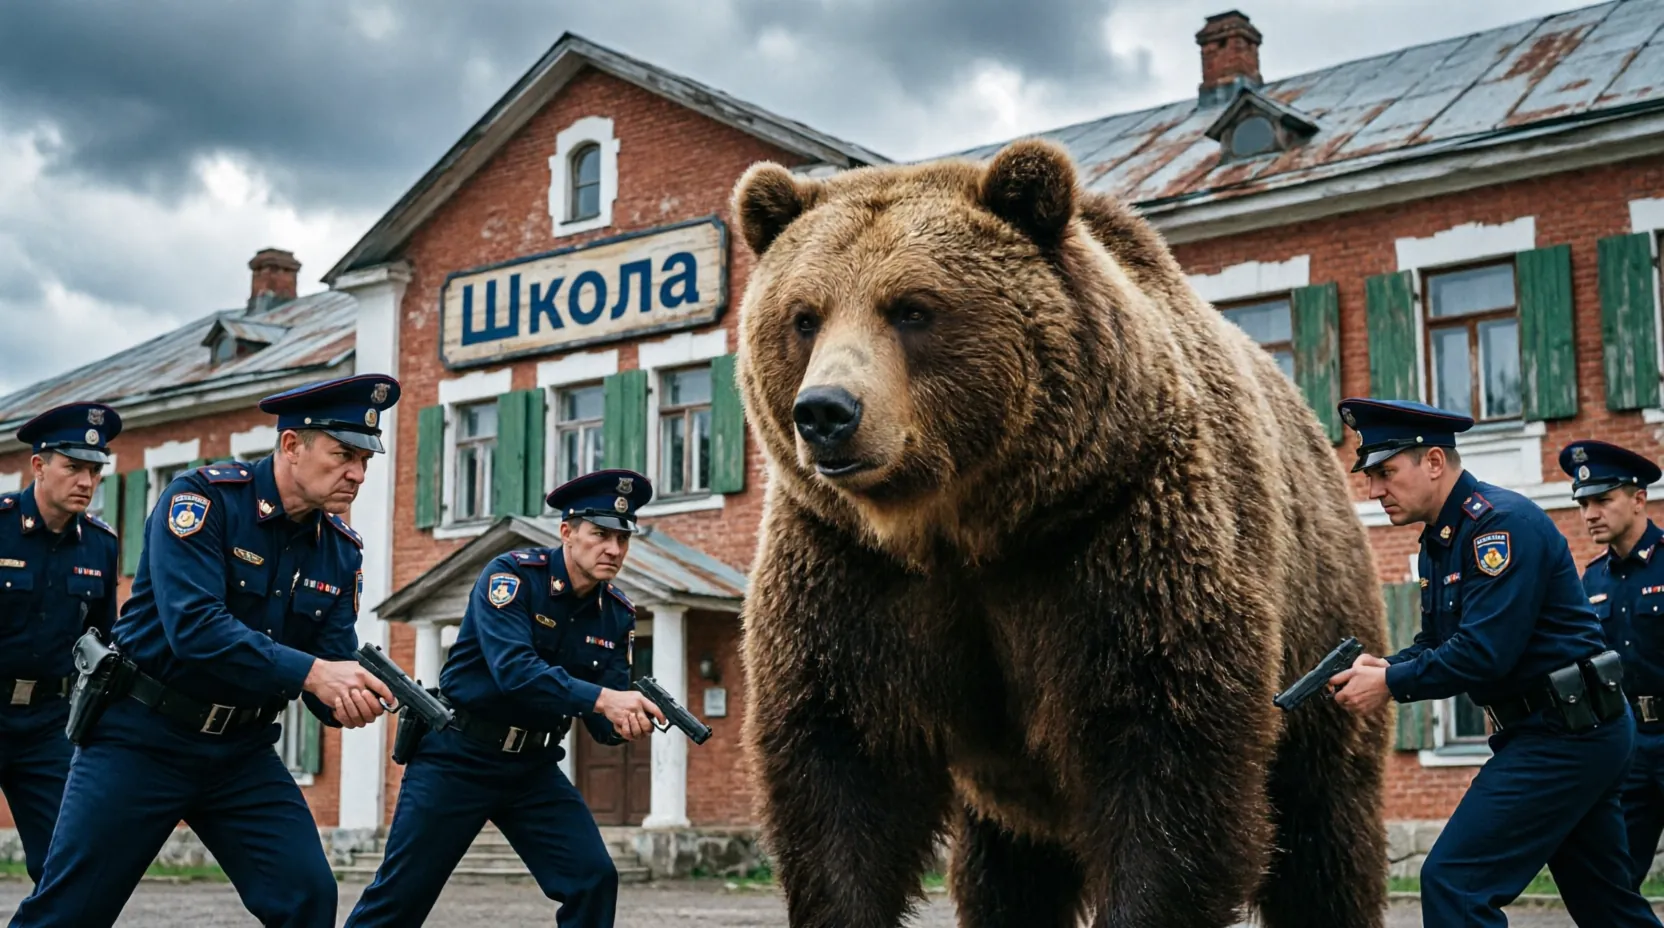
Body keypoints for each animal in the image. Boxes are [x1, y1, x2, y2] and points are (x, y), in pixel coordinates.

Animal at [727, 137, 1393, 928]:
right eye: (804, 316)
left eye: (913, 308)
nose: (826, 412)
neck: (963, 526)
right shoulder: (848, 570)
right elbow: (841, 771)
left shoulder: (1120, 539)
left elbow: (1169, 766)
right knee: (1006, 868)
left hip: (1322, 619)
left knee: (1324, 827)